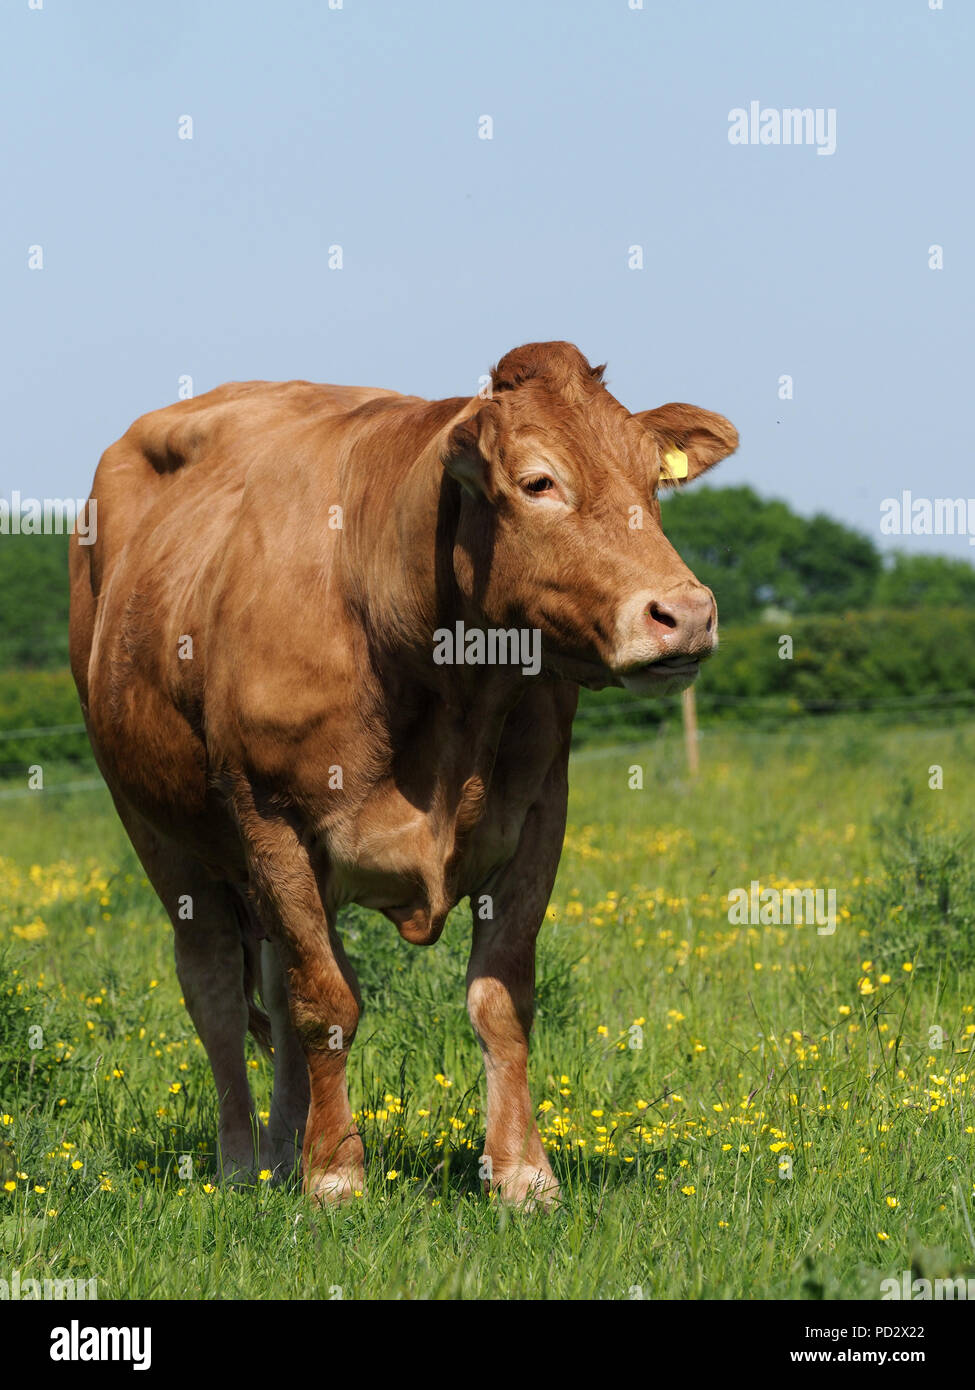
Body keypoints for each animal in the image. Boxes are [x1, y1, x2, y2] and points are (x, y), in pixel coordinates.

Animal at [68, 341, 737, 1206]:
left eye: (652, 482)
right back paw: (243, 1164)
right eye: (538, 482)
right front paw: (336, 1177)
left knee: (275, 988)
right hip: (159, 832)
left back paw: (285, 1151)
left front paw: (522, 1174)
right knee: (214, 988)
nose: (685, 614)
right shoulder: (269, 815)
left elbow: (499, 999)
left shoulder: (536, 816)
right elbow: (324, 1003)